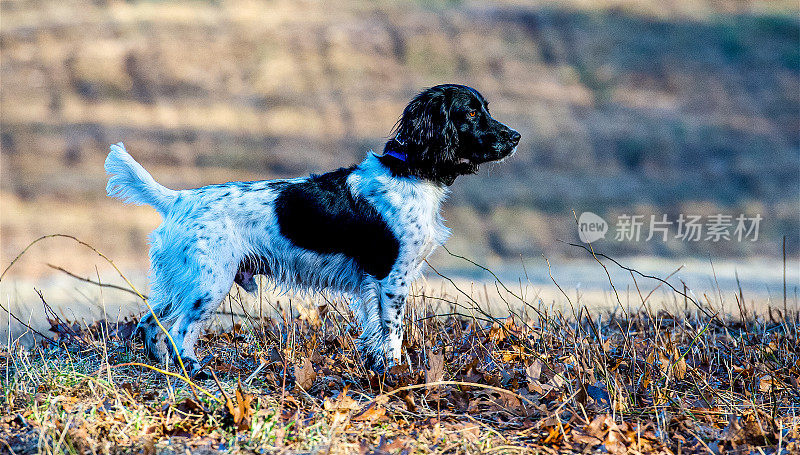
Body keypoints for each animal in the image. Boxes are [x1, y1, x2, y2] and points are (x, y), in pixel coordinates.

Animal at [104, 83, 520, 376]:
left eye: (486, 109)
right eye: (470, 112)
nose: (515, 136)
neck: (410, 170)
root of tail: (177, 199)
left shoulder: (372, 283)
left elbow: (374, 333)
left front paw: (379, 370)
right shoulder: (391, 277)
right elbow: (393, 334)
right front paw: (396, 374)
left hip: (182, 281)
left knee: (150, 323)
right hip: (209, 283)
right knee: (180, 332)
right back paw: (195, 372)